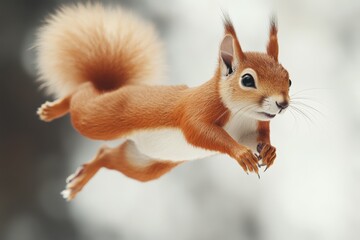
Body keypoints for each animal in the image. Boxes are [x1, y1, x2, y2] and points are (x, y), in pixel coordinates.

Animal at [35, 3, 292, 201]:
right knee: (83, 97)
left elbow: (256, 139)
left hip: (143, 164)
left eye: (289, 79)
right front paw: (241, 155)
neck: (241, 113)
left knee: (105, 154)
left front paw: (269, 151)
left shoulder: (252, 128)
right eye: (247, 80)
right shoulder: (198, 108)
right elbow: (198, 130)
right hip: (99, 119)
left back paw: (79, 181)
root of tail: (115, 89)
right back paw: (54, 109)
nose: (283, 104)